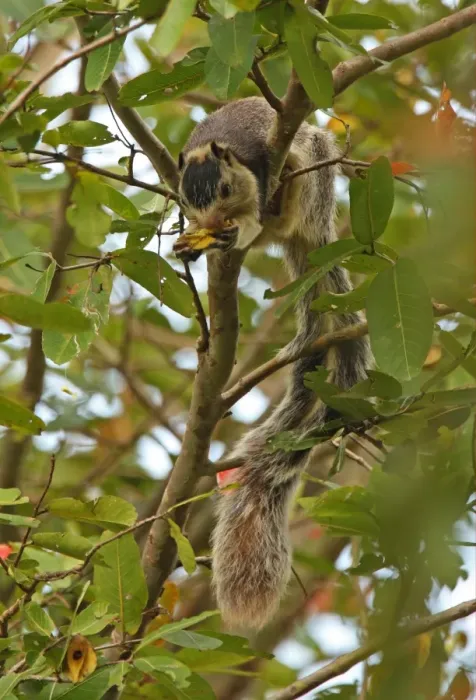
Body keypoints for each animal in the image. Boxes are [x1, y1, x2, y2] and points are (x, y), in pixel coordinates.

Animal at [174, 97, 371, 630]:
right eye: (186, 200)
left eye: (225, 187)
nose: (212, 223)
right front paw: (189, 242)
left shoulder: (262, 168)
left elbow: (254, 220)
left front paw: (232, 232)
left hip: (314, 181)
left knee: (286, 216)